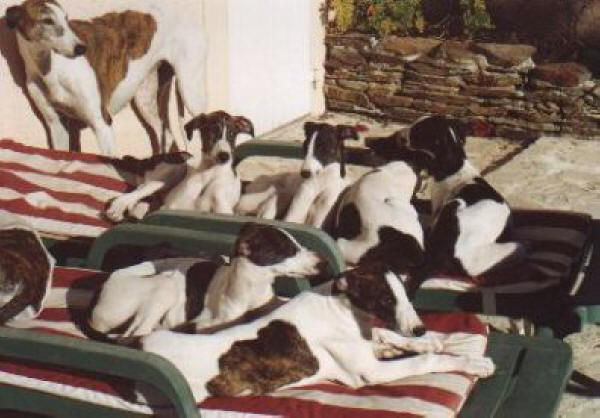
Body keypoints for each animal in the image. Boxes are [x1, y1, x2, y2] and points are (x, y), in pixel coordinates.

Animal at [5, 0, 207, 156]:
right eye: (47, 20)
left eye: (66, 19)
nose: (81, 49)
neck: (50, 66)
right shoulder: (56, 126)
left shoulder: (102, 122)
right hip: (146, 100)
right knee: (168, 135)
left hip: (190, 94)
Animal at [105, 110, 254, 222]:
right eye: (211, 132)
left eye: (232, 134)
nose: (224, 156)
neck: (209, 174)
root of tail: (149, 159)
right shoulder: (169, 208)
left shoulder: (223, 208)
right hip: (173, 170)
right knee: (136, 192)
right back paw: (117, 208)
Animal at [141, 262, 495, 403]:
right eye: (385, 299)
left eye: (405, 295)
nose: (419, 329)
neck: (341, 309)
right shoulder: (370, 374)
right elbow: (424, 361)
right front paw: (473, 363)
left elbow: (387, 336)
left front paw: (433, 340)